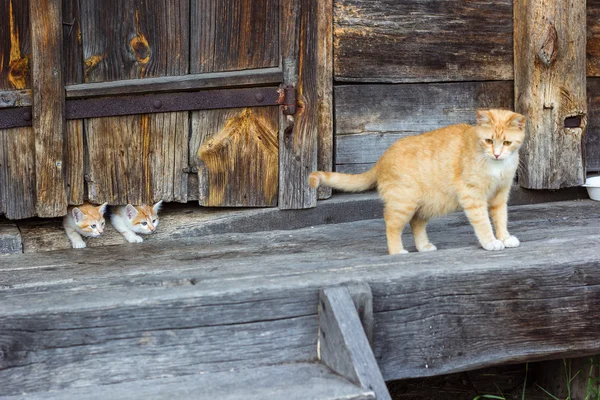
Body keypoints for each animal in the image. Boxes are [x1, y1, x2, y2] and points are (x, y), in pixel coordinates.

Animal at [310, 108, 524, 255]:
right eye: (489, 141)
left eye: (506, 143)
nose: (497, 154)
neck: (496, 166)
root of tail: (382, 158)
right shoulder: (472, 196)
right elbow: (483, 222)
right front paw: (491, 241)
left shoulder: (500, 196)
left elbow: (501, 219)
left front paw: (504, 238)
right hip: (404, 203)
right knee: (391, 224)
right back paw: (397, 251)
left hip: (425, 204)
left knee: (415, 224)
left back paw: (423, 246)